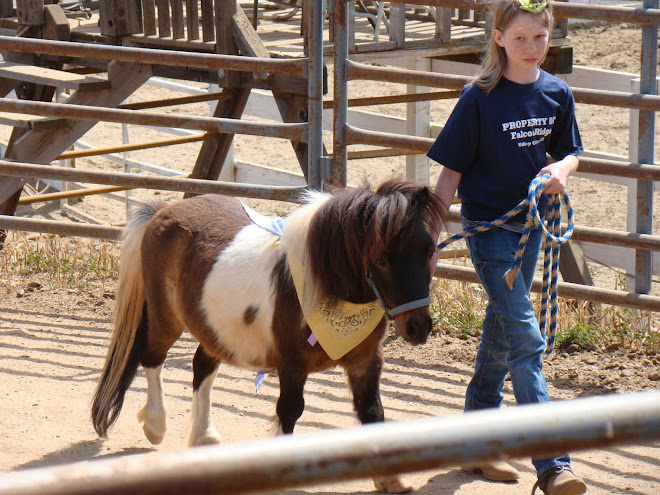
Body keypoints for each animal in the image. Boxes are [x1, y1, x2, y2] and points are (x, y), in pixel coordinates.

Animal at [90, 180, 446, 494]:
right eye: (381, 259)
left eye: (429, 251)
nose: (418, 326)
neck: (324, 288)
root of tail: (163, 211)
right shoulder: (293, 365)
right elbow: (290, 410)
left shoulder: (365, 362)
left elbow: (373, 412)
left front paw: (390, 480)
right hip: (167, 320)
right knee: (152, 358)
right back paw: (155, 425)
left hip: (216, 330)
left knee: (202, 366)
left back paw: (204, 436)